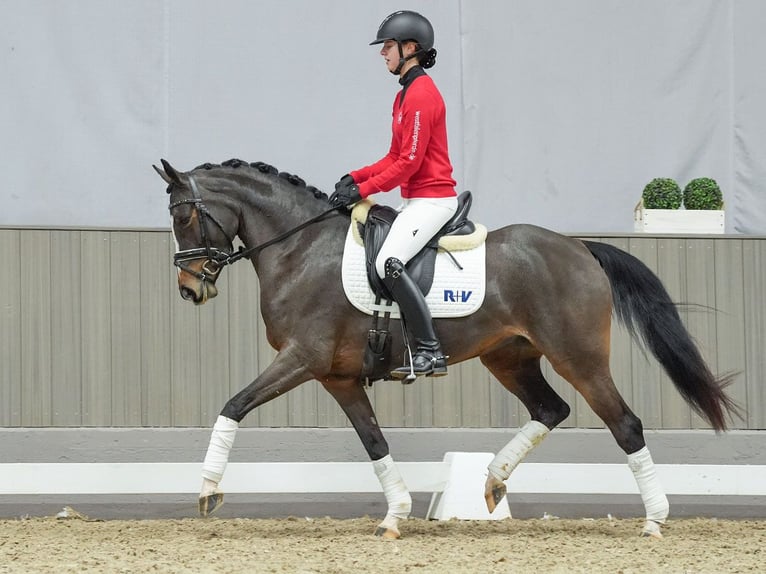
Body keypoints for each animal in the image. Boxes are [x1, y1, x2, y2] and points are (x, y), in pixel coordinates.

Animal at [153, 158, 740, 540]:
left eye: (183, 217)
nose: (188, 289)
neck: (300, 248)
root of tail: (579, 247)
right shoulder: (337, 376)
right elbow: (374, 442)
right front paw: (395, 514)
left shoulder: (301, 358)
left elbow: (234, 404)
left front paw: (206, 490)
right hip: (508, 357)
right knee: (551, 409)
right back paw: (493, 481)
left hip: (579, 357)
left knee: (625, 425)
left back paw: (655, 520)